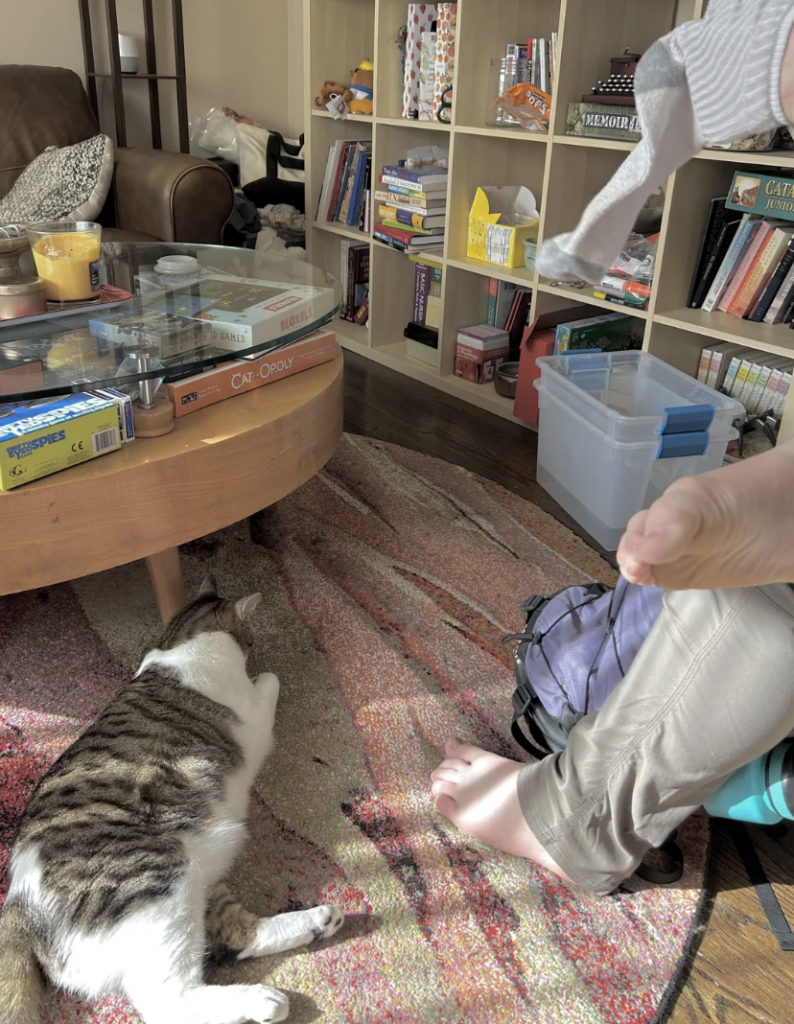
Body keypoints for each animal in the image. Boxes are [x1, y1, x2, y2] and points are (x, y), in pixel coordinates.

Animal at [0, 577, 342, 1024]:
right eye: (249, 638)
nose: (252, 644)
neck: (184, 639)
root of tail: (17, 905)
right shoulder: (255, 715)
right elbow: (269, 679)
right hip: (157, 883)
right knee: (169, 1000)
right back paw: (263, 1001)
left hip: (197, 879)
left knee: (237, 934)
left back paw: (318, 922)